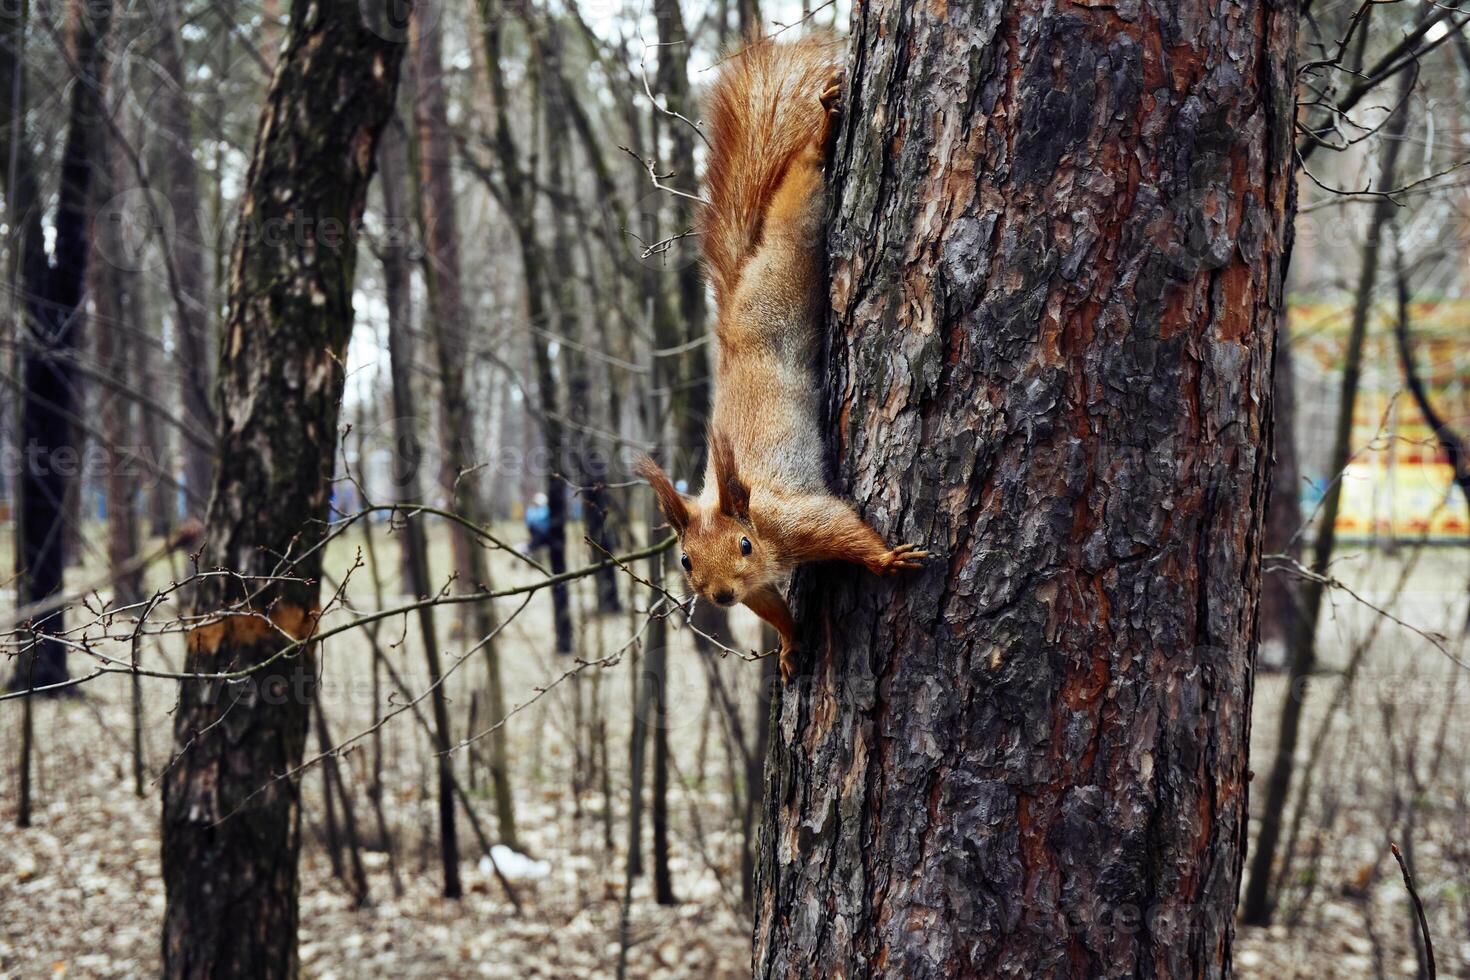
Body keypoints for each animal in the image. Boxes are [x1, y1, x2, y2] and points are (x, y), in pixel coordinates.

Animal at [635, 36, 929, 681]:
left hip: (790, 257)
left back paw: (821, 131)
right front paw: (791, 646)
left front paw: (886, 559)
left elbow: (842, 529)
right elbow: (772, 608)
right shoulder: (760, 585)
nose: (720, 596)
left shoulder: (791, 518)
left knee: (798, 195)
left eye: (743, 544)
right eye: (685, 561)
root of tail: (732, 312)